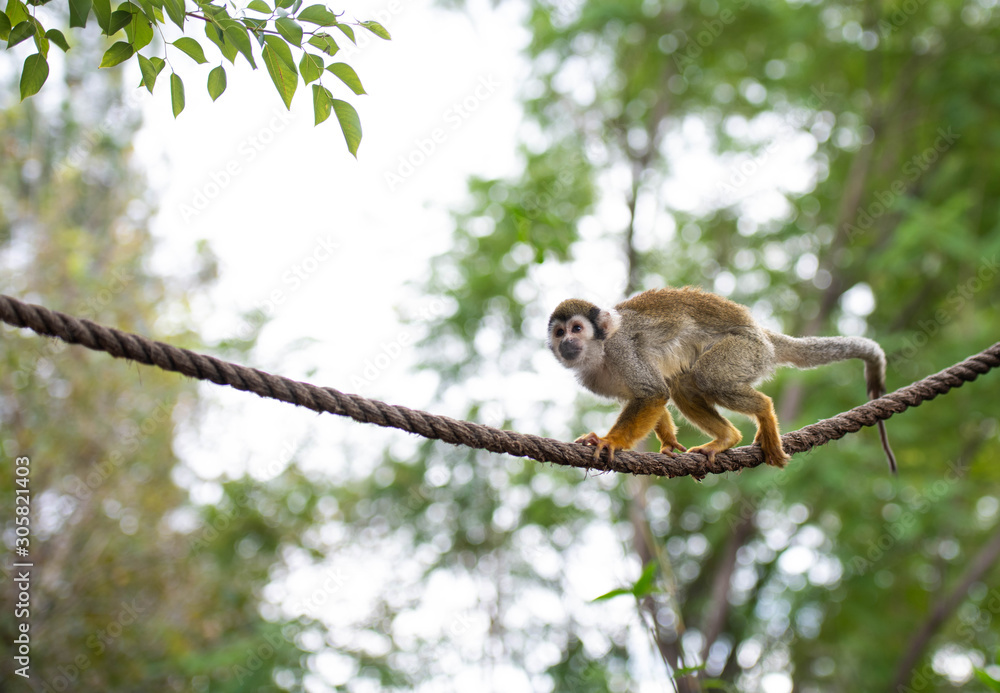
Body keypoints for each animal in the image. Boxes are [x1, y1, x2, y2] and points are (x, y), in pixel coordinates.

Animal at [548, 286, 896, 472]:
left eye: (577, 328)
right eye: (560, 332)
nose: (567, 343)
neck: (600, 353)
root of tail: (762, 334)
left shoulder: (621, 349)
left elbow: (652, 393)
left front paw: (610, 441)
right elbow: (649, 396)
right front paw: (668, 442)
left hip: (745, 350)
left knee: (706, 377)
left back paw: (763, 411)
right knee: (683, 384)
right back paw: (727, 437)